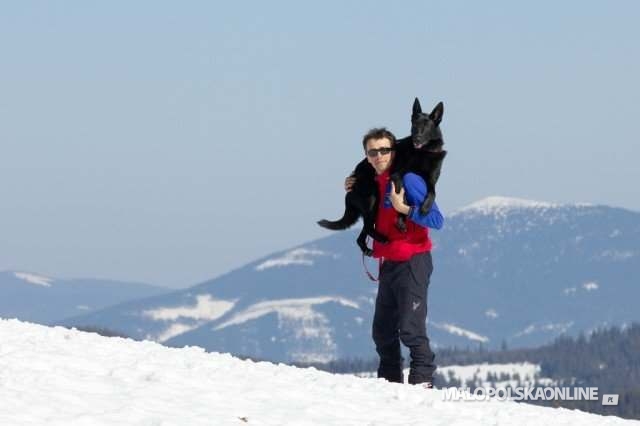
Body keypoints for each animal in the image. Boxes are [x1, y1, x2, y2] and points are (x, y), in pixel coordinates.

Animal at [318, 97, 448, 256]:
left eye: (426, 127)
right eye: (414, 126)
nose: (416, 138)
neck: (423, 152)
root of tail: (349, 192)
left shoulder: (431, 180)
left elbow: (433, 193)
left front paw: (424, 208)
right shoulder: (397, 174)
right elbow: (401, 191)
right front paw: (401, 218)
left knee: (362, 234)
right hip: (372, 197)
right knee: (368, 227)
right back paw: (381, 238)